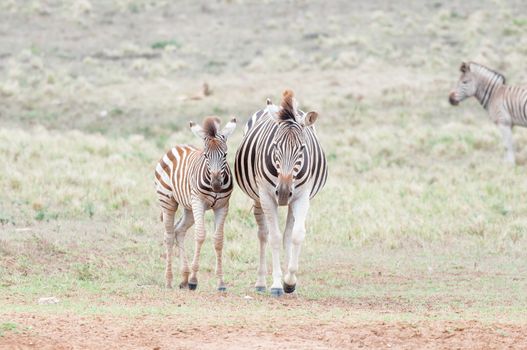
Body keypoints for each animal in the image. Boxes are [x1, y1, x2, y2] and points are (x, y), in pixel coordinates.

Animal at [155, 116, 237, 292]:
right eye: (206, 155)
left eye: (225, 154)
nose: (216, 185)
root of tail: (177, 147)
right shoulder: (198, 202)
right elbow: (200, 236)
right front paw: (194, 280)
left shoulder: (222, 206)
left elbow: (218, 240)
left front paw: (220, 283)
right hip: (168, 202)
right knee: (169, 236)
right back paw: (169, 280)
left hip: (189, 208)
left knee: (179, 231)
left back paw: (184, 278)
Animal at [234, 89, 326, 296]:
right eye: (275, 146)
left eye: (302, 148)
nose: (283, 192)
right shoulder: (267, 196)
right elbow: (274, 238)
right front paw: (276, 285)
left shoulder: (302, 196)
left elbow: (296, 235)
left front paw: (289, 281)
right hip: (257, 198)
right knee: (263, 234)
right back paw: (261, 282)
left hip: (292, 202)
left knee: (287, 235)